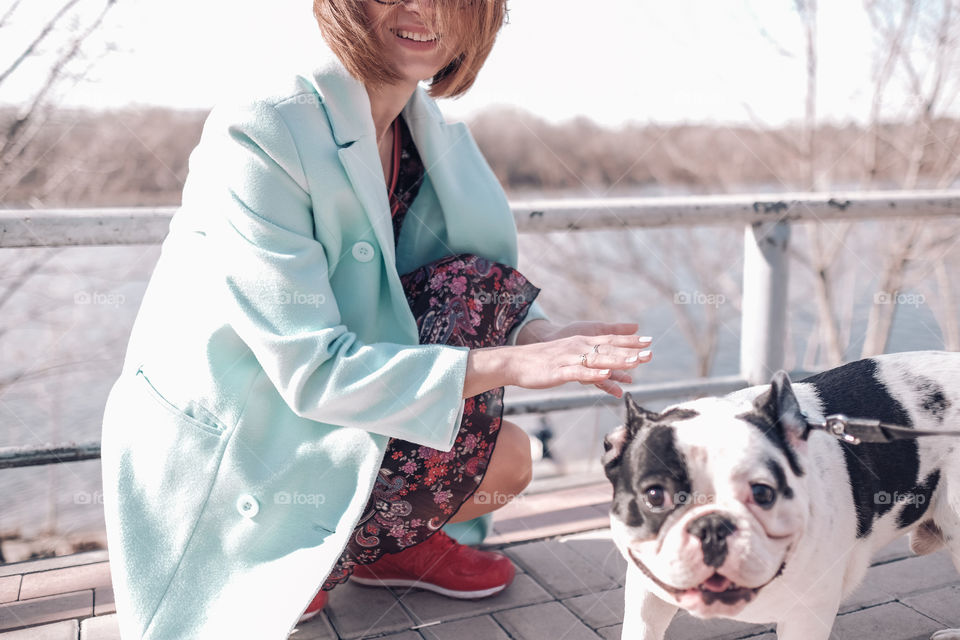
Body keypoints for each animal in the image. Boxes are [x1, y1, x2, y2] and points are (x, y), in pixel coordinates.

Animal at [604, 350, 960, 640]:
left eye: (763, 493)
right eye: (654, 496)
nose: (712, 525)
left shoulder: (808, 615)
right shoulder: (647, 592)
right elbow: (641, 626)